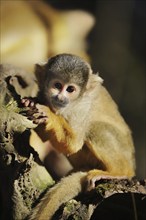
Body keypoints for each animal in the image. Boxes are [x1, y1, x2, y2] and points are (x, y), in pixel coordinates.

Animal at [22, 53, 136, 220]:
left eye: (70, 89)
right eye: (57, 85)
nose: (60, 98)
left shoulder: (82, 107)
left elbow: (74, 144)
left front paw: (49, 114)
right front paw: (32, 102)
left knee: (94, 128)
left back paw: (120, 172)